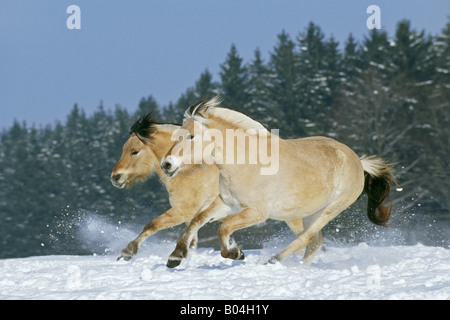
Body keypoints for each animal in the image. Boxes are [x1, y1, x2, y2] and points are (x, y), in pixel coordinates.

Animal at [110, 114, 220, 262]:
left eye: (135, 151)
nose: (115, 177)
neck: (190, 170)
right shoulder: (189, 215)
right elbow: (192, 239)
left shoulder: (183, 211)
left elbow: (152, 225)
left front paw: (128, 251)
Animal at [160, 97, 396, 268]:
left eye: (191, 136)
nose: (166, 164)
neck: (247, 161)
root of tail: (358, 161)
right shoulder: (227, 203)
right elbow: (198, 219)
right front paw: (175, 257)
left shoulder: (257, 212)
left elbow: (223, 228)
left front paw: (235, 253)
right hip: (311, 212)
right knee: (314, 243)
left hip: (330, 210)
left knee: (304, 239)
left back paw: (273, 260)